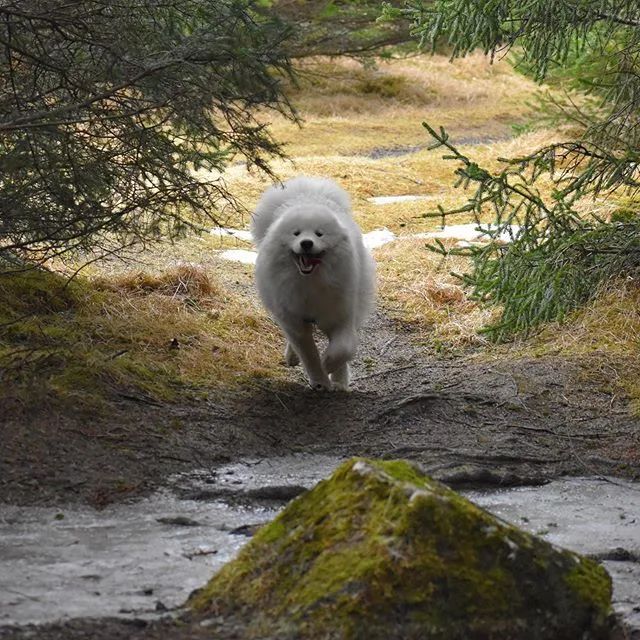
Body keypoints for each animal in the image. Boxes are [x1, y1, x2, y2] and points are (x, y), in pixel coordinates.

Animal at [252, 175, 378, 390]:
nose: (306, 243)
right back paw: (293, 358)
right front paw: (319, 381)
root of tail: (308, 193)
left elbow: (343, 349)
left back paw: (340, 382)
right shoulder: (295, 321)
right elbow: (309, 354)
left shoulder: (339, 315)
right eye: (296, 233)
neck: (310, 283)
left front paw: (330, 367)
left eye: (319, 234)